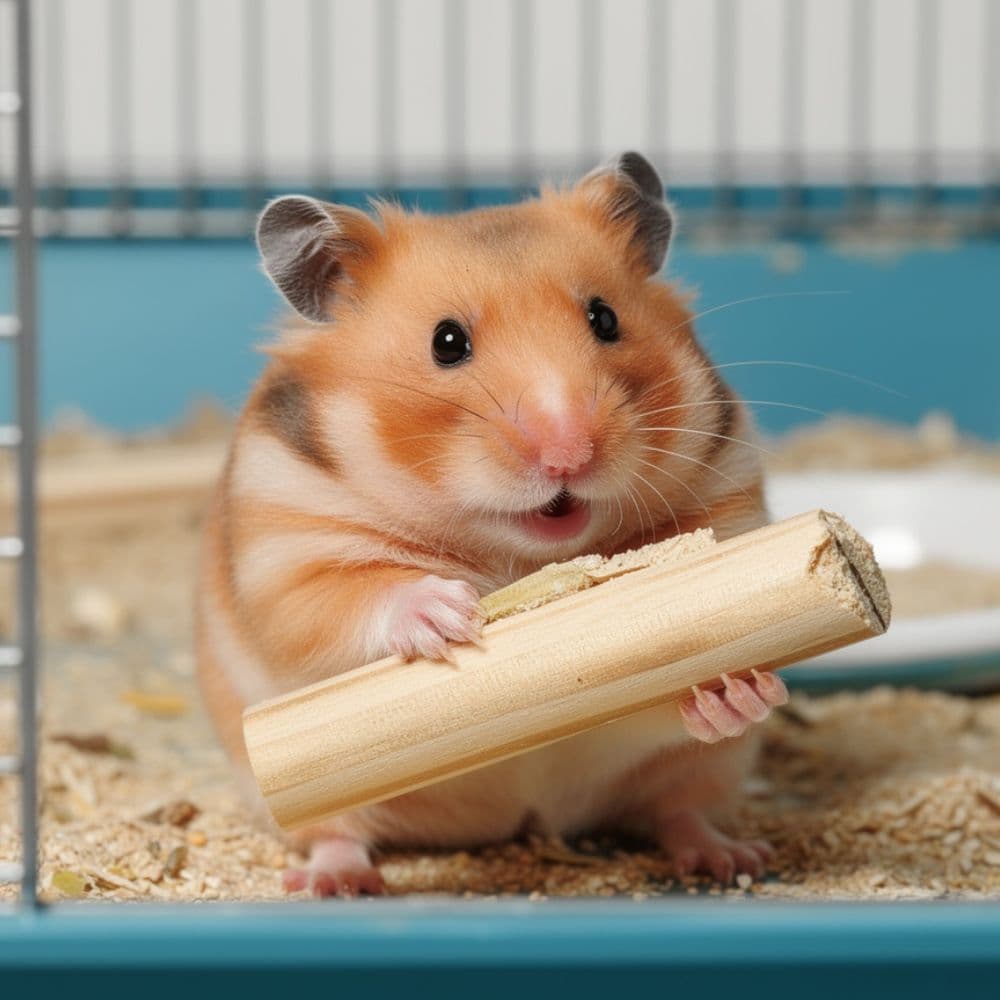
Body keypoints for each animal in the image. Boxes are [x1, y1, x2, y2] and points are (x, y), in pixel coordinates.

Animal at [195, 151, 788, 897]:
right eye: (446, 342)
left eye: (604, 318)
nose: (569, 453)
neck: (514, 550)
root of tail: (516, 820)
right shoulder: (287, 556)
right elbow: (344, 599)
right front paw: (449, 616)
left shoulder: (729, 498)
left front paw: (735, 684)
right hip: (298, 790)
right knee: (337, 835)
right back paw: (333, 883)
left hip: (707, 771)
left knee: (678, 811)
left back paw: (731, 856)